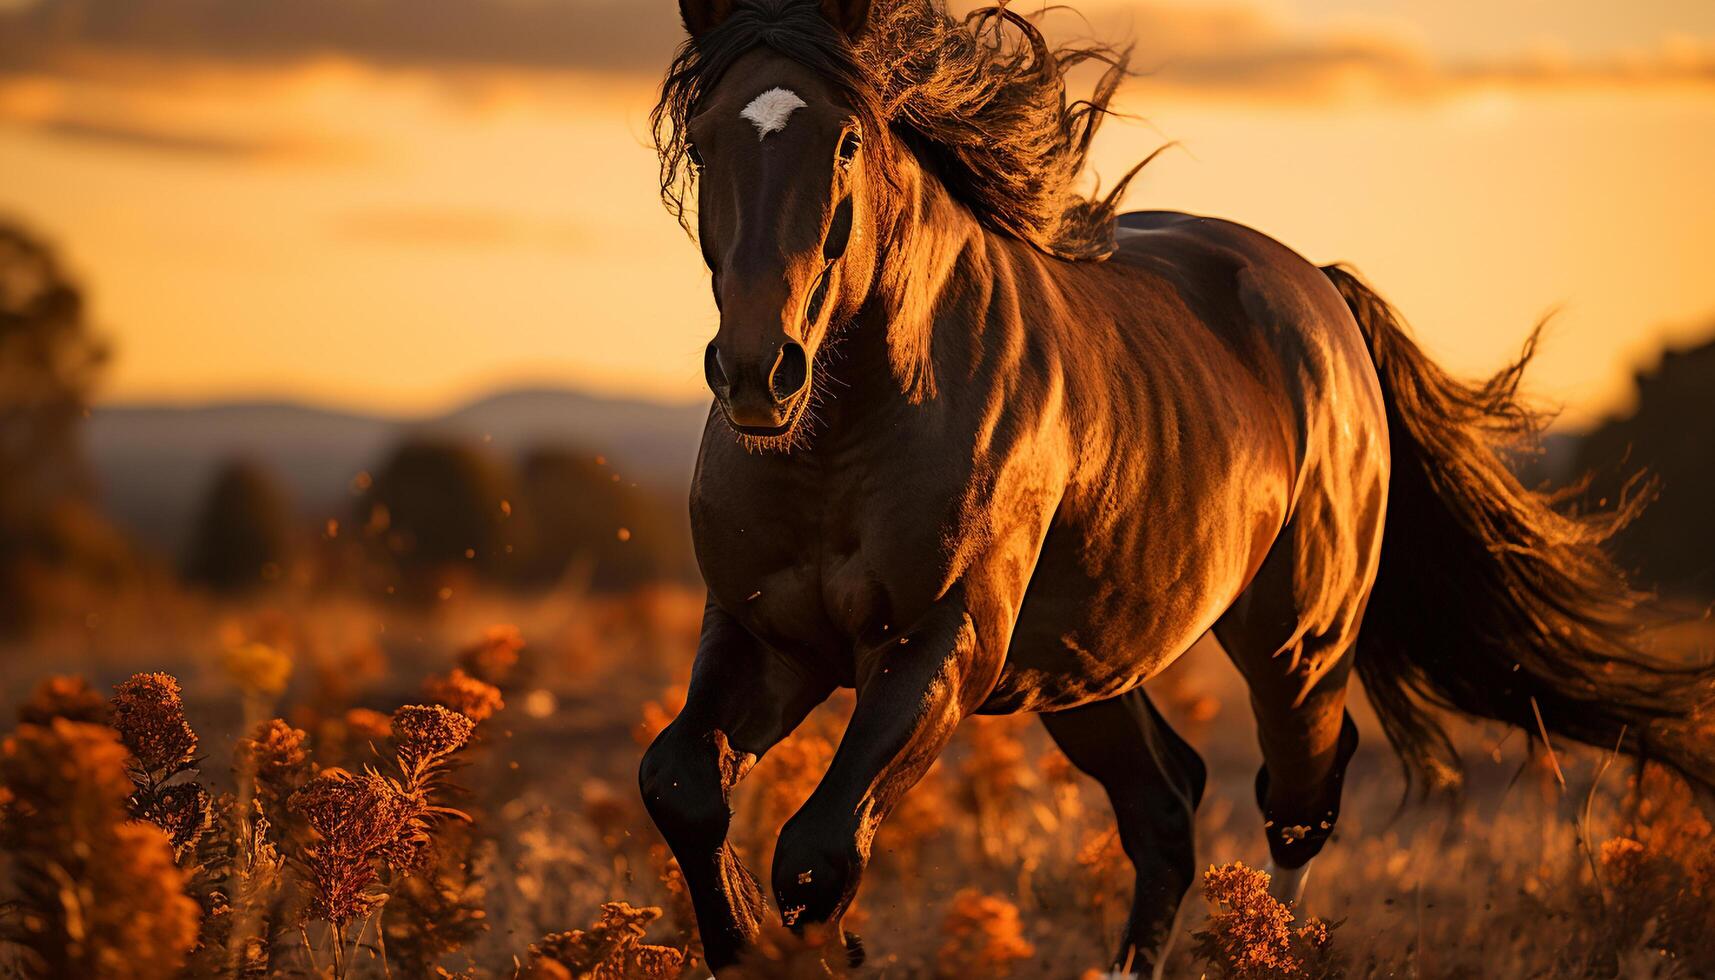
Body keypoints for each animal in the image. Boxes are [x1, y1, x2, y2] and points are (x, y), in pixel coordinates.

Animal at [637, 0, 1708, 974]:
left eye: (848, 139)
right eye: (704, 138)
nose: (757, 371)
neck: (841, 439)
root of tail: (1319, 292)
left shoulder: (941, 644)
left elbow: (817, 852)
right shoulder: (767, 637)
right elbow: (681, 783)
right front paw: (741, 941)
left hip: (1296, 646)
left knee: (1297, 805)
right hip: (1082, 672)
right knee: (1167, 806)